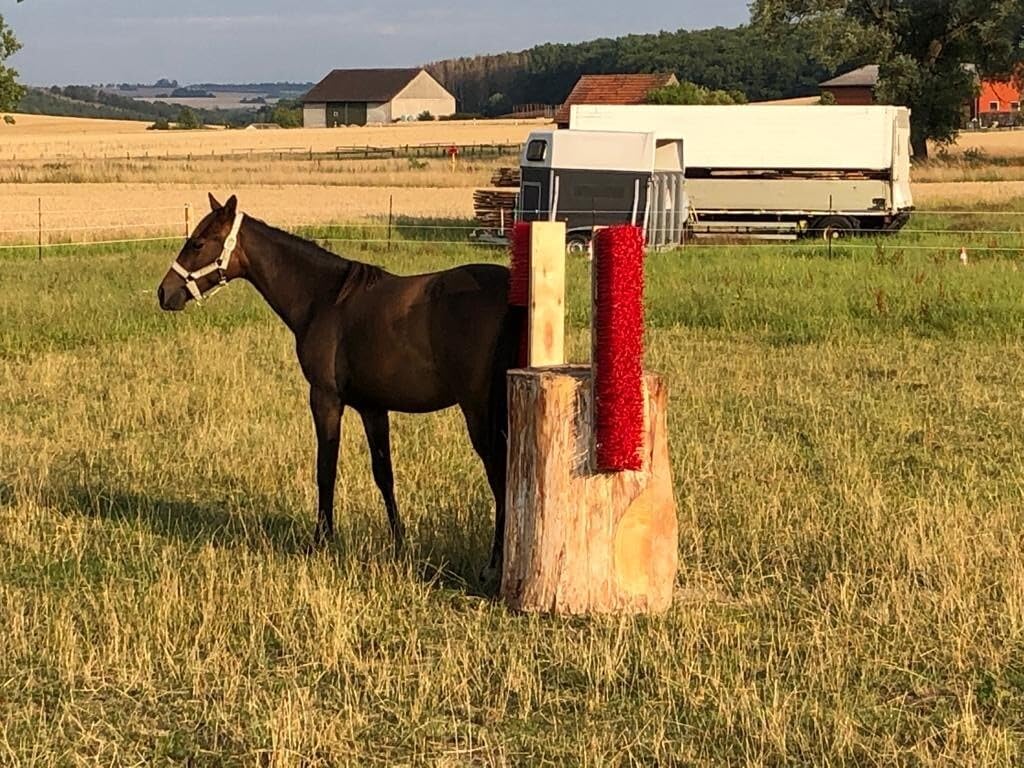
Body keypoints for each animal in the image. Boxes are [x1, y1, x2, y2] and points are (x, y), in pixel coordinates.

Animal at [156, 193, 521, 583]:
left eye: (197, 243)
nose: (164, 292)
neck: (325, 299)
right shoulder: (372, 408)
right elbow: (384, 475)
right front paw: (399, 544)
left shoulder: (325, 399)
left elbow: (325, 469)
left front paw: (320, 541)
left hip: (479, 413)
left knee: (501, 477)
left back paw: (493, 565)